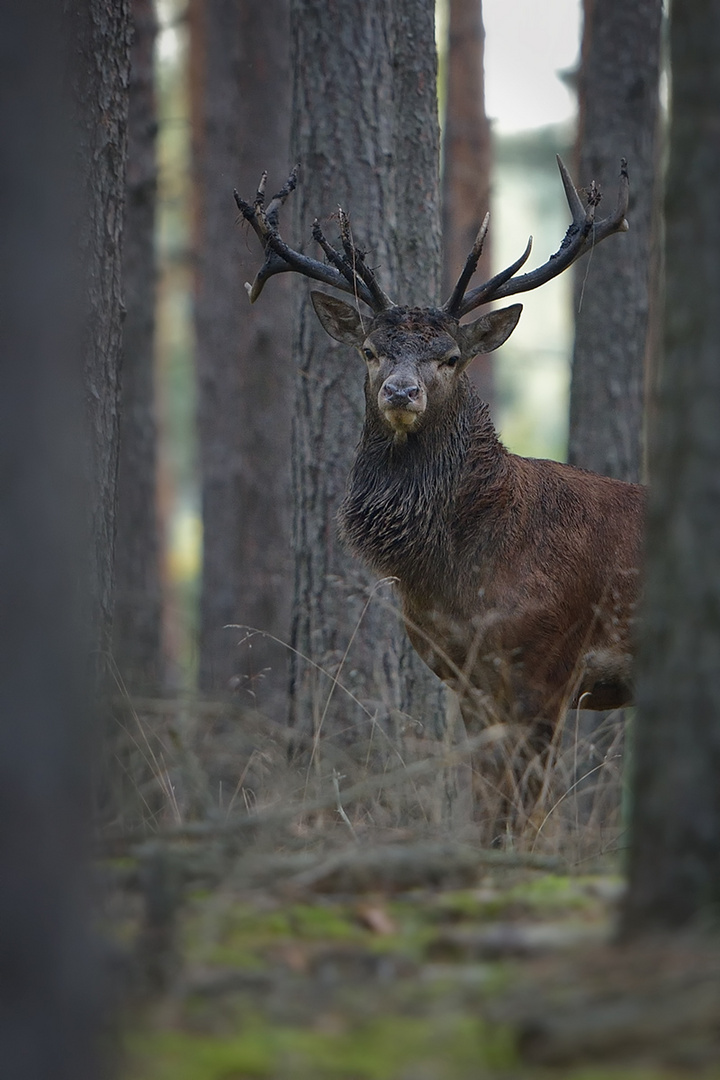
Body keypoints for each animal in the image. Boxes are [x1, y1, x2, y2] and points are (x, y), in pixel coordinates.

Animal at [236, 159, 647, 829]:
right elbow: (486, 806)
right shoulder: (466, 679)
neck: (457, 574)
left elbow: (523, 813)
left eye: (451, 356)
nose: (402, 392)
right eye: (370, 351)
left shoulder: (550, 665)